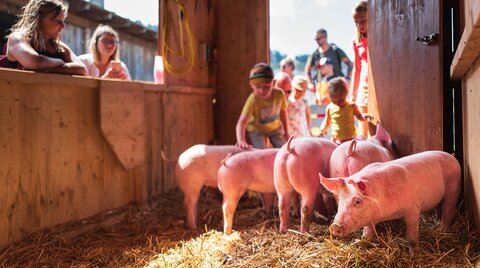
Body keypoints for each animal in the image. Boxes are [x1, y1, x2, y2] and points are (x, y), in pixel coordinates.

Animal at [320, 151, 460, 255]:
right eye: (340, 199)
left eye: (357, 201)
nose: (335, 226)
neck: (386, 215)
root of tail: (451, 156)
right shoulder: (371, 218)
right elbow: (367, 234)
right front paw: (358, 243)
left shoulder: (413, 208)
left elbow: (411, 237)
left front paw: (413, 256)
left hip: (453, 185)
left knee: (449, 209)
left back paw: (443, 228)